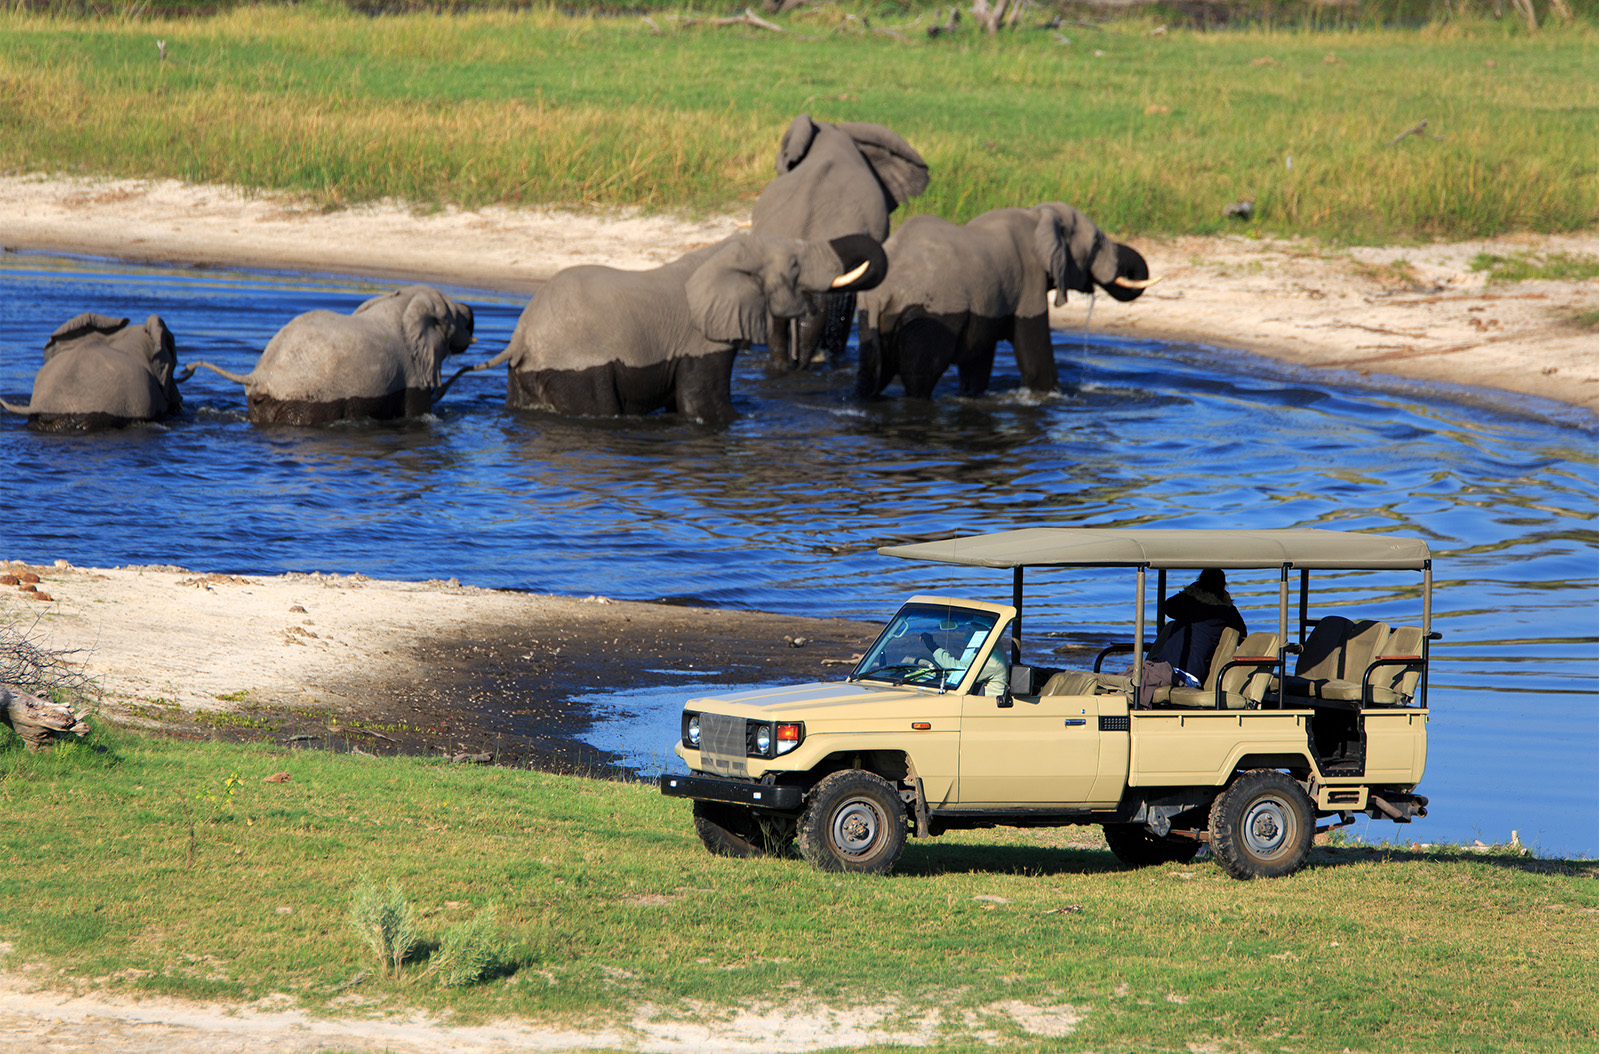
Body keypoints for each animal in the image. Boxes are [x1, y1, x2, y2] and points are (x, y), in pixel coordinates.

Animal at [188, 284, 473, 428]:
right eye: (456, 319)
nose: (470, 313)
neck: (401, 302)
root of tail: (260, 374)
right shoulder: (413, 371)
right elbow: (417, 413)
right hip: (306, 398)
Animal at [473, 231, 896, 428]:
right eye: (794, 266)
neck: (719, 253)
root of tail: (520, 339)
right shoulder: (701, 341)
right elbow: (706, 407)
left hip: (526, 377)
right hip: (577, 368)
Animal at [857, 203, 1158, 401]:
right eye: (1095, 244)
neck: (1038, 215)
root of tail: (881, 293)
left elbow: (977, 360)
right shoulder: (1029, 278)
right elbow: (1033, 353)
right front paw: (1050, 398)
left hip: (872, 323)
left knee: (872, 374)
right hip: (928, 316)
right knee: (920, 377)